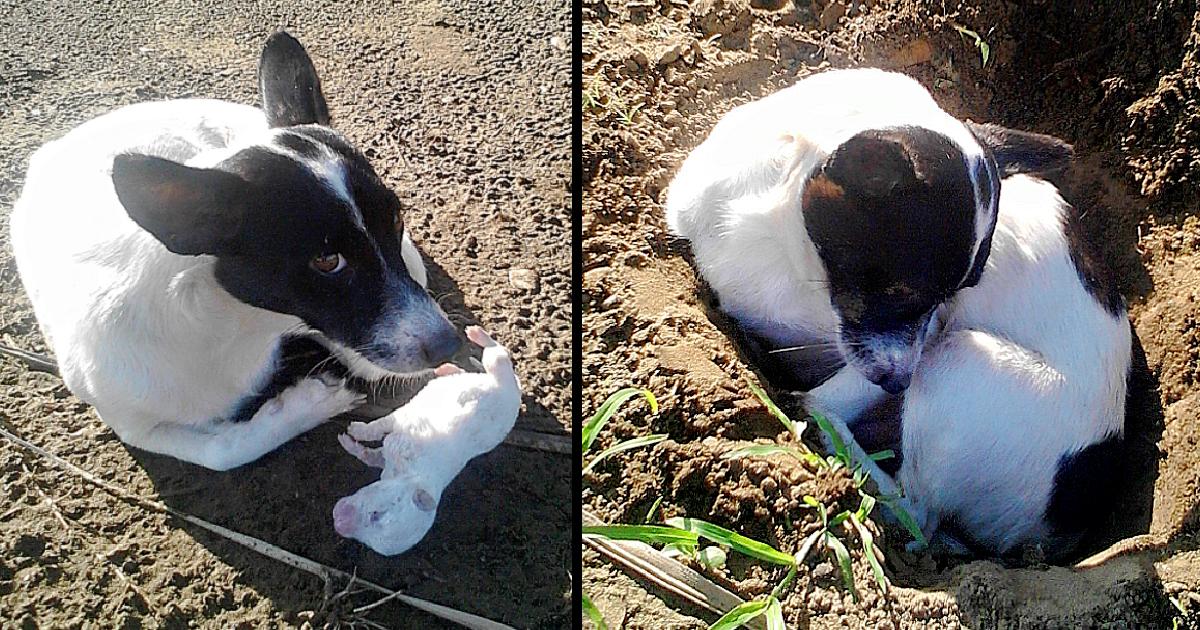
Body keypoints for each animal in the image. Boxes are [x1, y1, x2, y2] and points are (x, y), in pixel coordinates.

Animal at [8, 31, 458, 468]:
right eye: (327, 260)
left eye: (396, 220)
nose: (450, 345)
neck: (233, 328)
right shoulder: (136, 427)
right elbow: (223, 453)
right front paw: (311, 401)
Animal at [672, 68, 1137, 559]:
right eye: (899, 294)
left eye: (944, 297)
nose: (900, 384)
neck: (784, 247)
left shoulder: (917, 341)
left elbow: (829, 394)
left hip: (957, 362)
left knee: (914, 510)